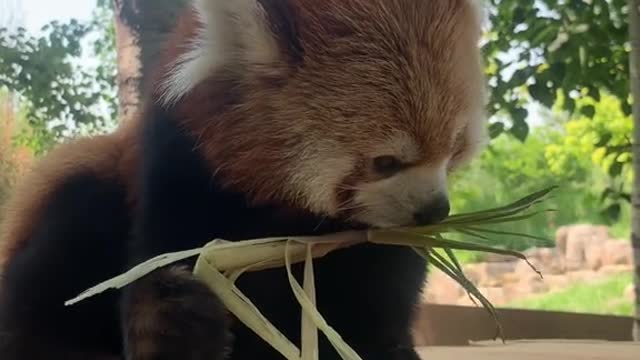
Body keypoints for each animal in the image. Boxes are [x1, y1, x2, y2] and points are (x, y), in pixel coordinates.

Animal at [0, 0, 484, 360]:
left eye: (454, 146)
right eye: (385, 162)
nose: (435, 210)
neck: (282, 212)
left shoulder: (379, 246)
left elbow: (375, 315)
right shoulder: (181, 168)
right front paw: (168, 325)